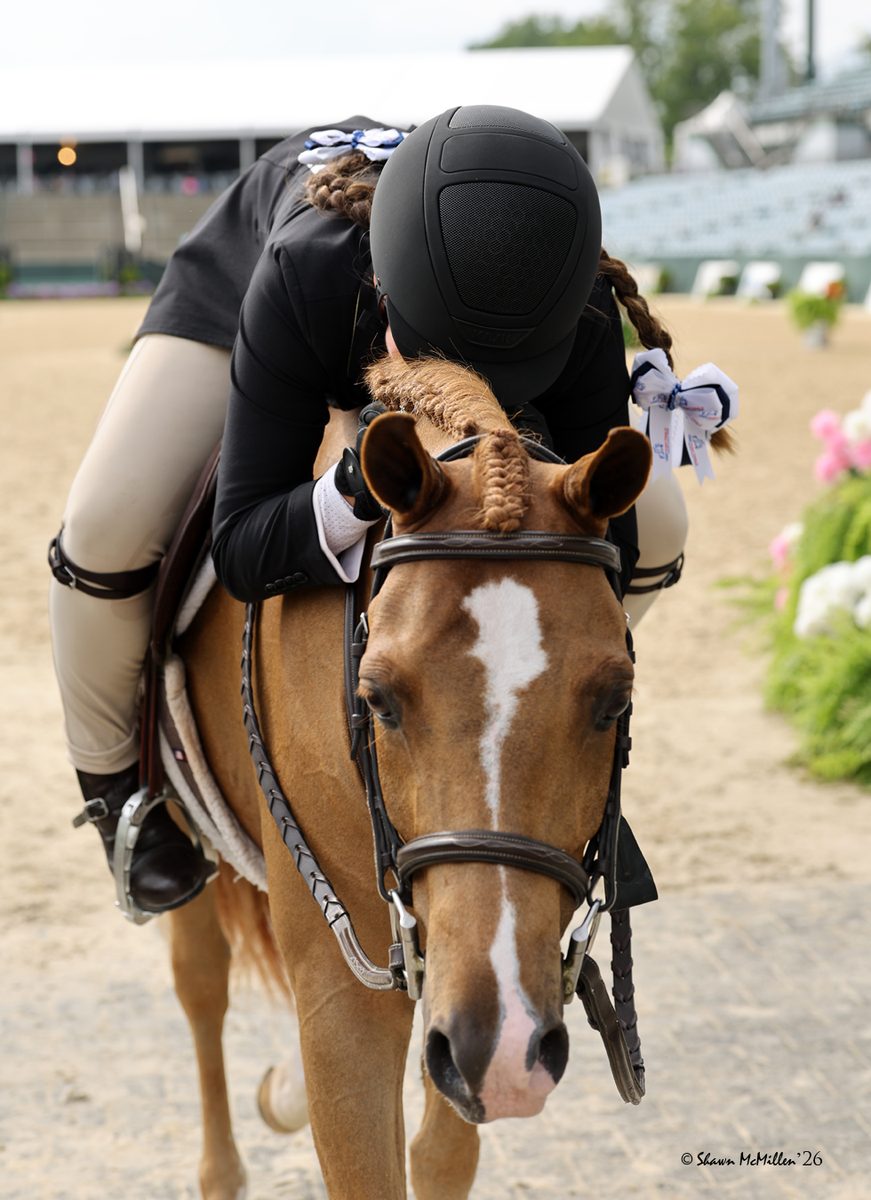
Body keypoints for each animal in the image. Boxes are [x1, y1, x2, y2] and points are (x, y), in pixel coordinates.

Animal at [167, 355, 653, 1199]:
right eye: (378, 699)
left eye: (613, 703)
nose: (506, 1047)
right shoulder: (350, 1000)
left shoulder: (465, 976)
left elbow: (439, 1152)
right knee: (201, 982)